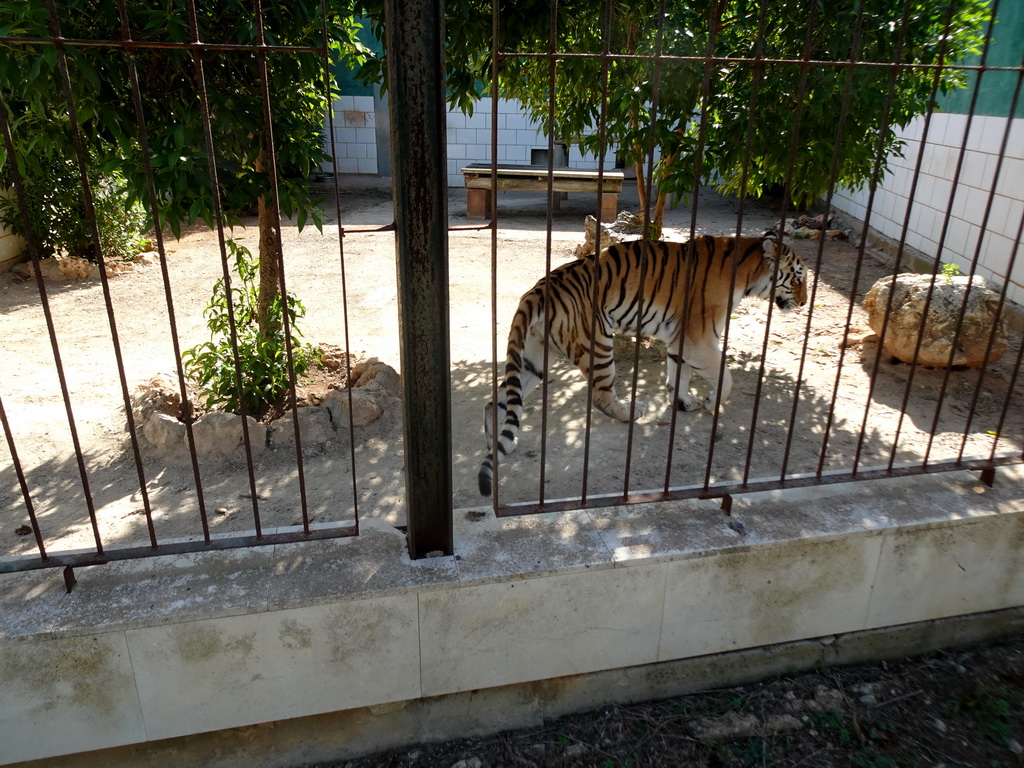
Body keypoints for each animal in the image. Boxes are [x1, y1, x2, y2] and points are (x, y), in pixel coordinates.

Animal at [479, 231, 806, 499]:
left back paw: (498, 442)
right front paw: (711, 403)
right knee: (601, 397)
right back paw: (632, 412)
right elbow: (725, 378)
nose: (803, 303)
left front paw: (683, 402)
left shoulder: (681, 340)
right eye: (798, 279)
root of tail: (539, 289)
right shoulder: (699, 341)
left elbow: (678, 374)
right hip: (598, 344)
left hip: (535, 359)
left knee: (497, 399)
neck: (748, 269)